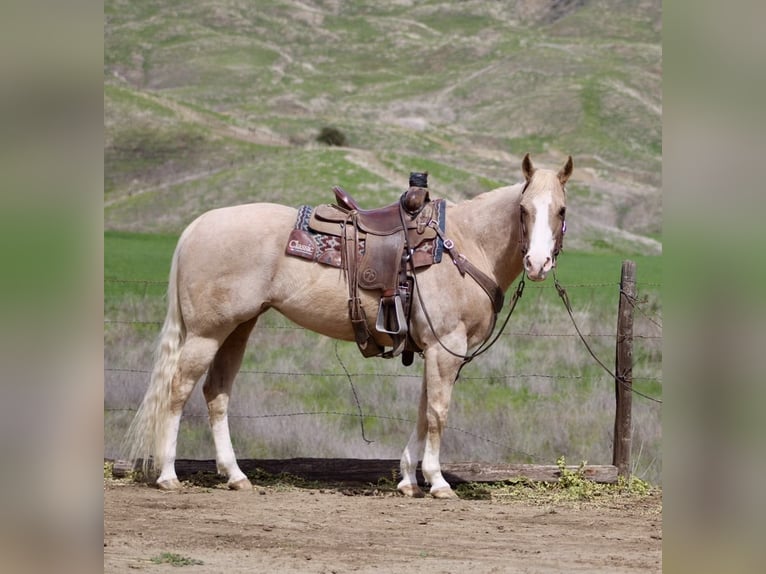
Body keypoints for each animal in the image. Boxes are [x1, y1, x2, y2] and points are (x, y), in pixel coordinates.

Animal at [125, 153, 572, 498]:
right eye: (524, 210)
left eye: (561, 210)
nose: (537, 264)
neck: (462, 245)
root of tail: (197, 226)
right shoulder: (446, 347)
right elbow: (438, 412)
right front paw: (437, 481)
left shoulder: (433, 350)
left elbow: (422, 411)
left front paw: (409, 480)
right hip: (207, 333)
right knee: (177, 391)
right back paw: (168, 476)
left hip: (237, 329)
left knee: (216, 394)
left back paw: (236, 476)